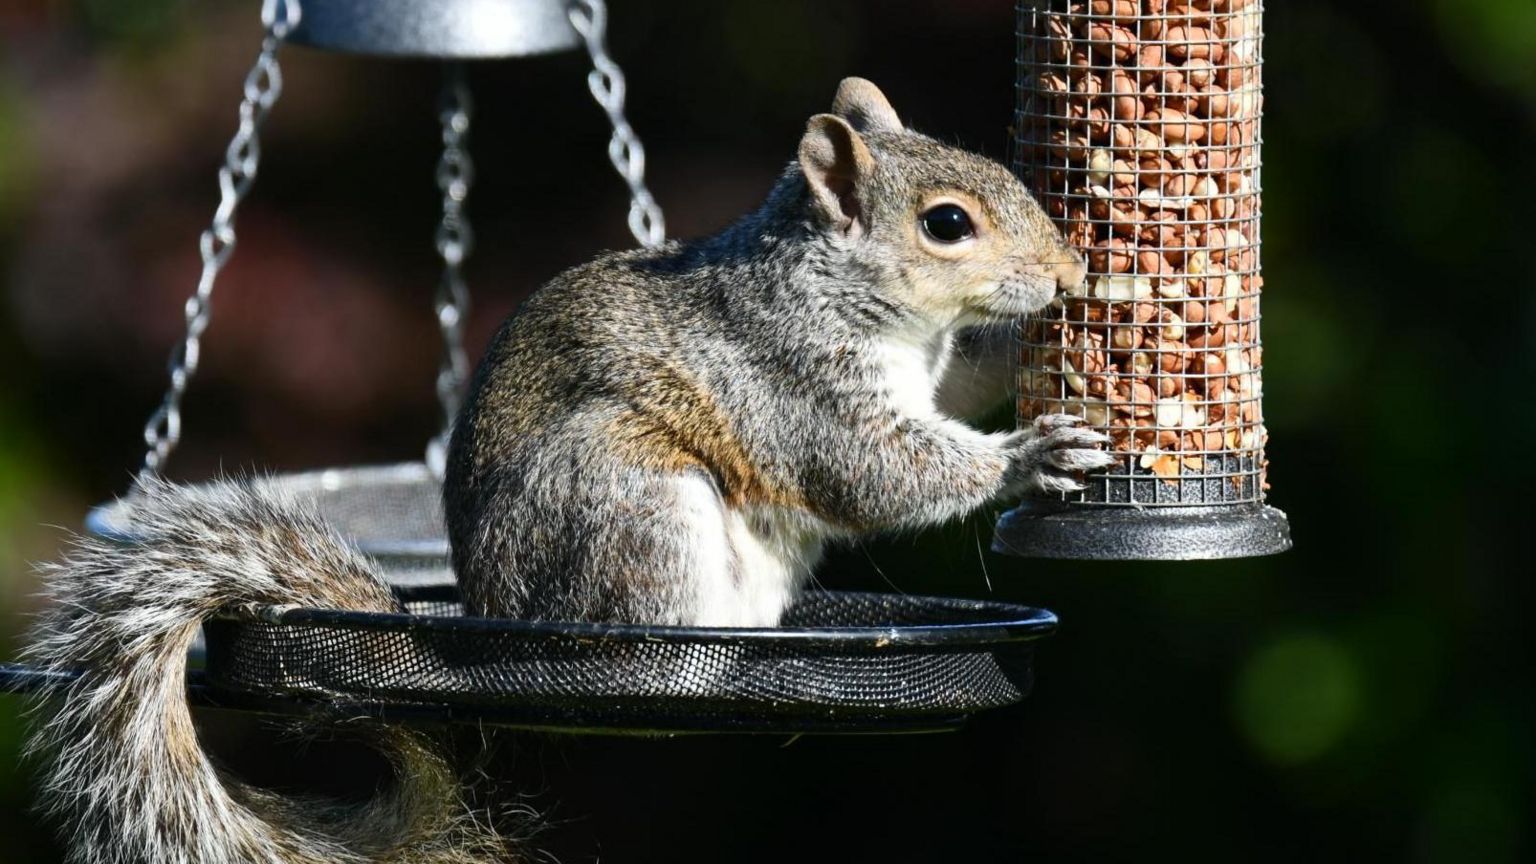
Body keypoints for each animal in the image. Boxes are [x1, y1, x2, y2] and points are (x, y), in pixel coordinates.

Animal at [24, 77, 1105, 854]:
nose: (1069, 274)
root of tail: (496, 627)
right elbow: (874, 470)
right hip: (631, 499)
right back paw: (709, 668)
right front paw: (1029, 454)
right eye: (947, 223)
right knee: (645, 652)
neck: (833, 288)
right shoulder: (793, 380)